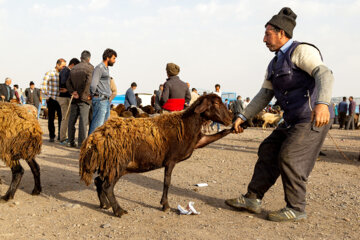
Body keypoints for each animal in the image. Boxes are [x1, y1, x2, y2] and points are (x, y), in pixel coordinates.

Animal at [79, 94, 233, 218]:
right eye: (216, 103)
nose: (230, 119)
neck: (186, 125)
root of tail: (94, 138)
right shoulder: (171, 160)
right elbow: (167, 182)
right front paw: (165, 205)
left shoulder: (198, 141)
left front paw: (234, 128)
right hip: (117, 164)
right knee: (107, 186)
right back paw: (118, 210)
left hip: (111, 165)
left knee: (99, 182)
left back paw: (105, 204)